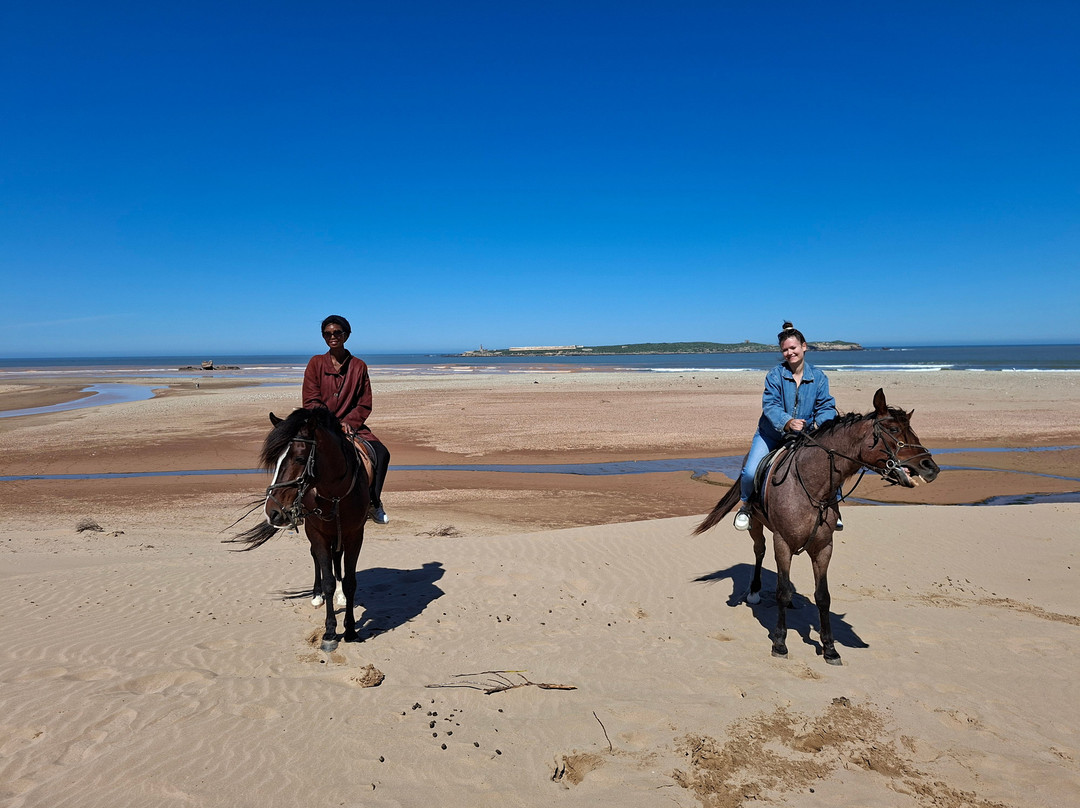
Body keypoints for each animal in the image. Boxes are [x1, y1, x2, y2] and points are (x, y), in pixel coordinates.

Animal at [228, 407, 370, 652]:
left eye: (300, 458)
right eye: (275, 460)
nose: (273, 511)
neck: (334, 494)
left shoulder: (354, 534)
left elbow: (350, 582)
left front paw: (350, 629)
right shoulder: (318, 534)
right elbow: (327, 580)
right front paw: (330, 632)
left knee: (336, 557)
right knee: (317, 558)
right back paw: (316, 595)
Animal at [694, 388, 939, 665]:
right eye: (895, 430)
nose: (931, 467)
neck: (811, 486)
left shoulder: (824, 547)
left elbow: (823, 597)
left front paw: (830, 648)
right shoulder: (782, 542)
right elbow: (781, 591)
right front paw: (780, 643)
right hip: (757, 525)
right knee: (759, 550)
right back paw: (754, 591)